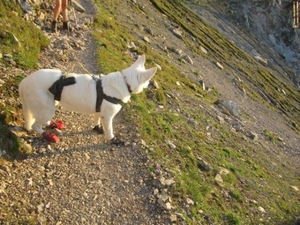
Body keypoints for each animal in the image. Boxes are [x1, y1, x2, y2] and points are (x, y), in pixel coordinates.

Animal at [18, 54, 157, 144]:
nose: (150, 85)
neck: (125, 81)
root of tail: (23, 83)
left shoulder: (99, 111)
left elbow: (97, 120)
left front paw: (97, 128)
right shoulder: (108, 117)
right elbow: (110, 130)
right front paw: (113, 139)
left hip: (50, 104)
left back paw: (51, 125)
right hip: (46, 107)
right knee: (35, 125)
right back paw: (47, 136)